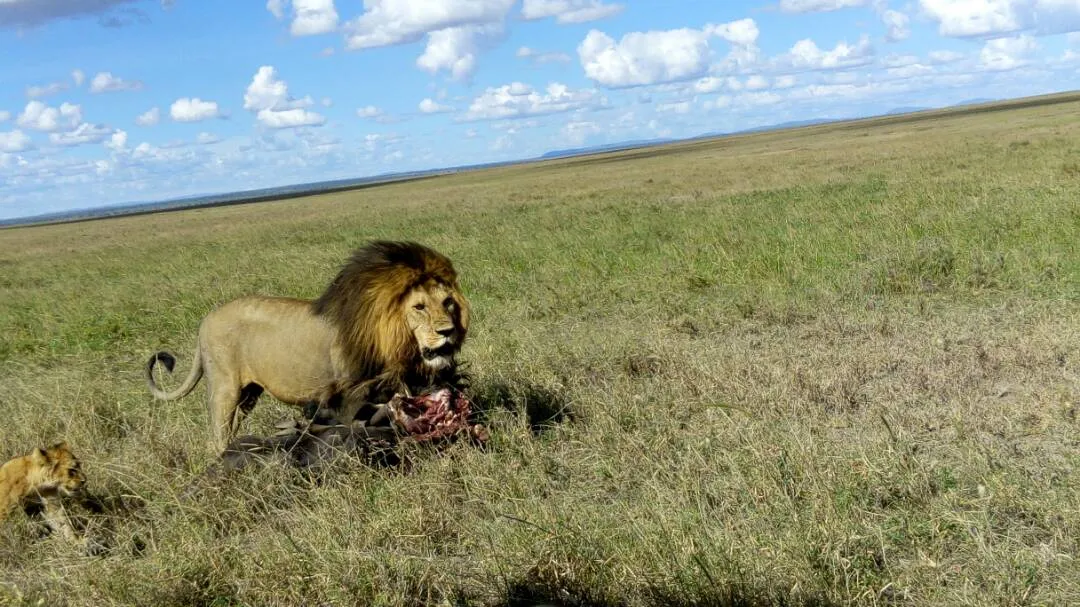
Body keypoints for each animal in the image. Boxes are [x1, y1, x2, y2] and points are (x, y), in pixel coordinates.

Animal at [145, 240, 471, 453]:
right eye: (419, 307)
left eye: (447, 302)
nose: (448, 331)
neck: (391, 339)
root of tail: (205, 321)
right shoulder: (351, 394)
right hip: (225, 388)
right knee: (217, 434)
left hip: (248, 393)